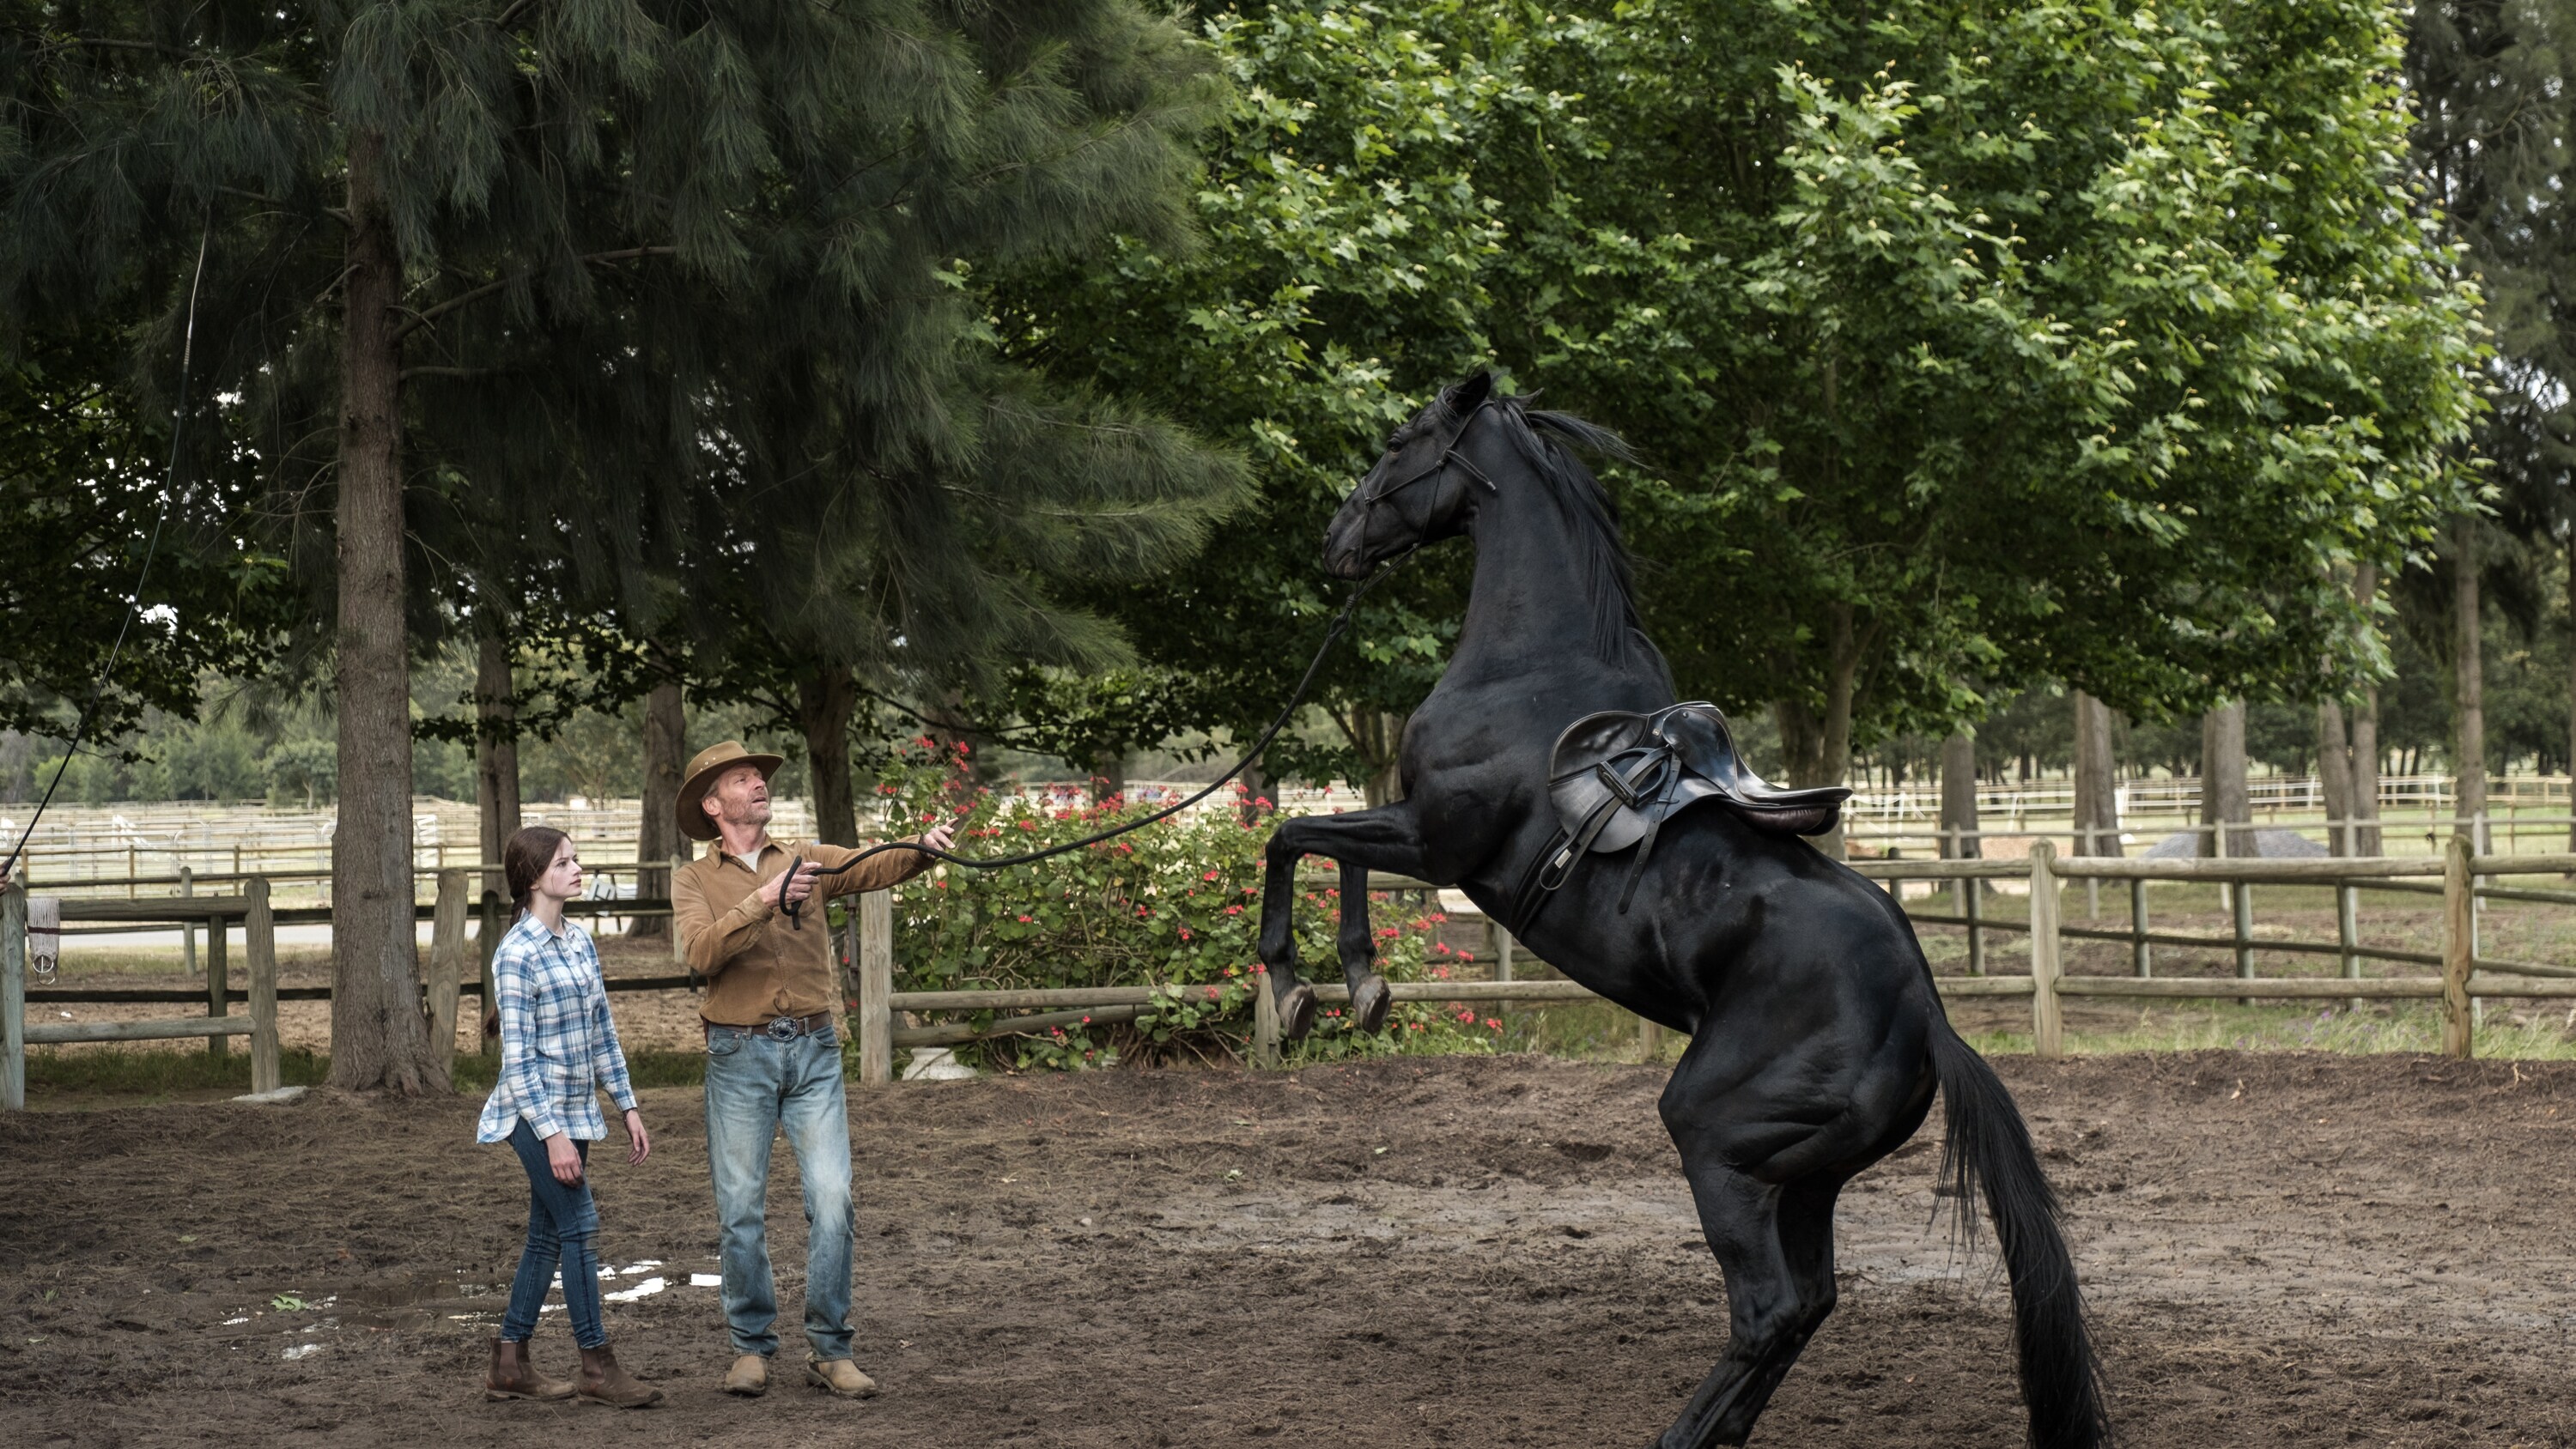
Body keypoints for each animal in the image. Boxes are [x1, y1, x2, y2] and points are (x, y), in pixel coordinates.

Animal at [1252, 373, 2112, 1449]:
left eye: (1399, 440)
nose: (1338, 540)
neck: (1528, 668)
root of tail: (1928, 1019)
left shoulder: (1435, 839)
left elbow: (1298, 837)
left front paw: (1316, 983)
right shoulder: (1421, 835)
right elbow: (1315, 841)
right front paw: (1347, 988)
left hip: (1717, 1141)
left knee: (1770, 1307)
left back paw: (1683, 1435)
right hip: (1802, 1176)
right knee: (1809, 1301)